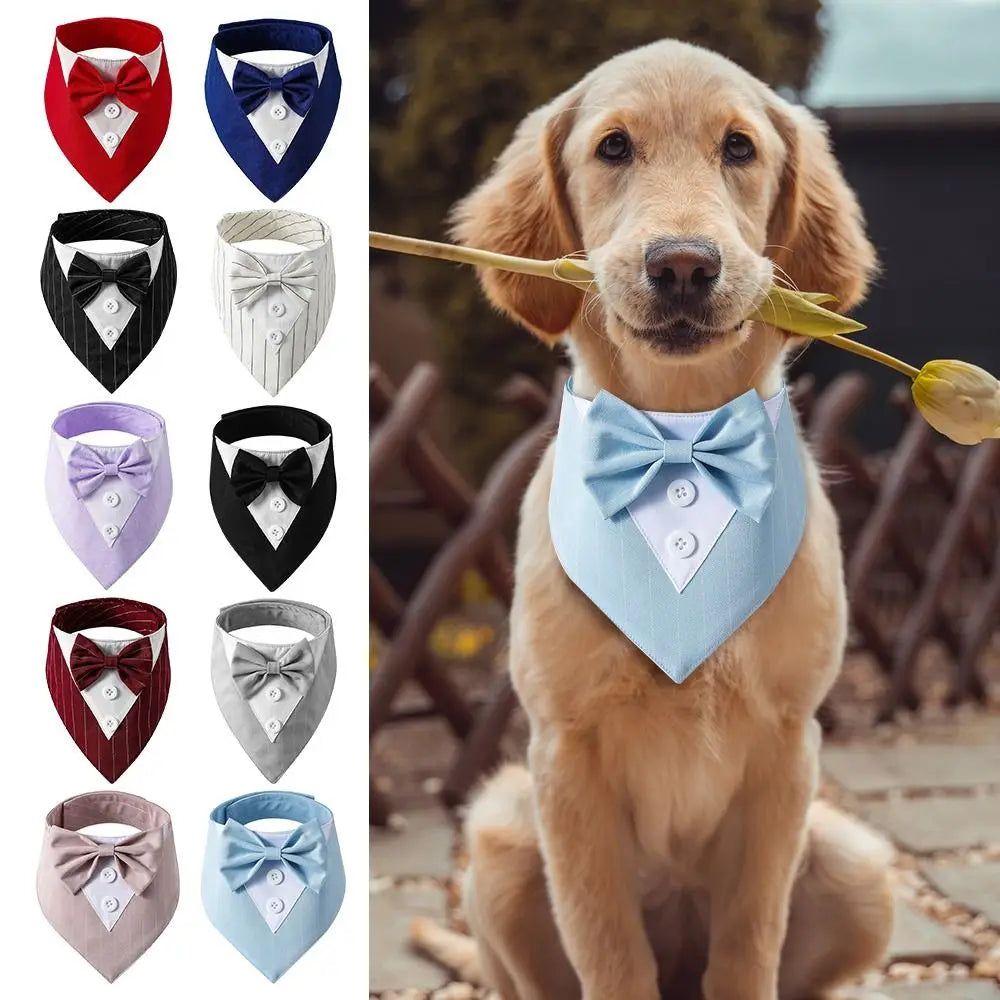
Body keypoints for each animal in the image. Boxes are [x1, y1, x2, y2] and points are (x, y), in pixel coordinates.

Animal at [410, 39, 896, 1000]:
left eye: (740, 148)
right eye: (614, 148)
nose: (682, 265)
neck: (678, 437)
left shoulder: (788, 749)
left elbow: (748, 943)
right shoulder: (565, 755)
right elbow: (609, 949)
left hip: (858, 864)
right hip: (500, 835)